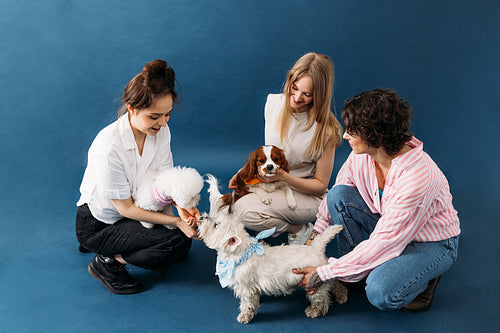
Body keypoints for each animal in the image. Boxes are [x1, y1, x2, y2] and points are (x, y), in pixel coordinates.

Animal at [199, 175, 348, 322]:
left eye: (215, 225)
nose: (201, 217)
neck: (241, 253)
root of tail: (317, 248)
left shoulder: (246, 288)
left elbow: (247, 304)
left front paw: (245, 316)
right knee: (334, 281)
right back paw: (342, 296)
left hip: (313, 283)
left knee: (322, 299)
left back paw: (315, 311)